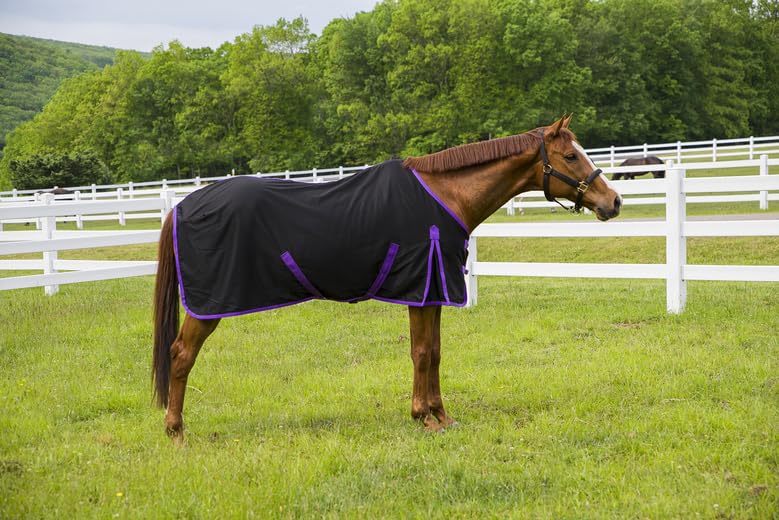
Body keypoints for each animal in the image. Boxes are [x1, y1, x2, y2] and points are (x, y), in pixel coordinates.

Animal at [152, 115, 622, 442]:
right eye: (570, 156)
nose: (614, 202)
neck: (445, 196)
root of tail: (183, 206)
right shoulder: (423, 288)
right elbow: (421, 353)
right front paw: (424, 418)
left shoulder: (432, 293)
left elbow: (435, 352)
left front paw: (441, 415)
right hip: (208, 305)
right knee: (180, 354)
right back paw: (176, 431)